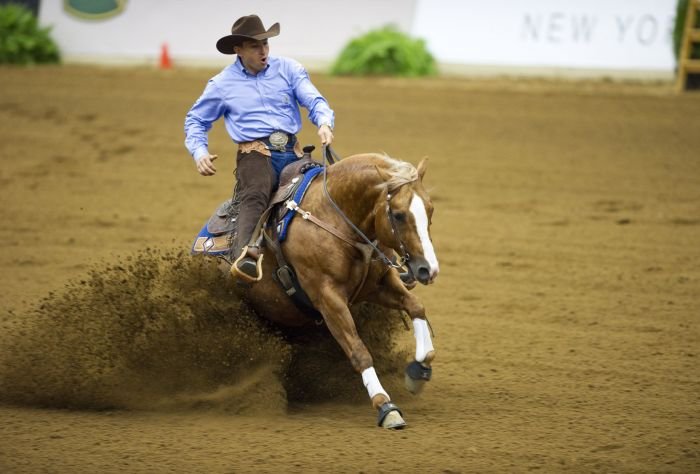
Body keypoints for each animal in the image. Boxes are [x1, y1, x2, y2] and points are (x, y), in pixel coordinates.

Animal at [197, 151, 438, 430]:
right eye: (398, 215)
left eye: (430, 209)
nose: (428, 269)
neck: (336, 219)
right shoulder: (328, 298)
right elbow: (359, 352)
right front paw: (386, 406)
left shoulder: (378, 286)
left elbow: (416, 306)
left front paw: (418, 372)